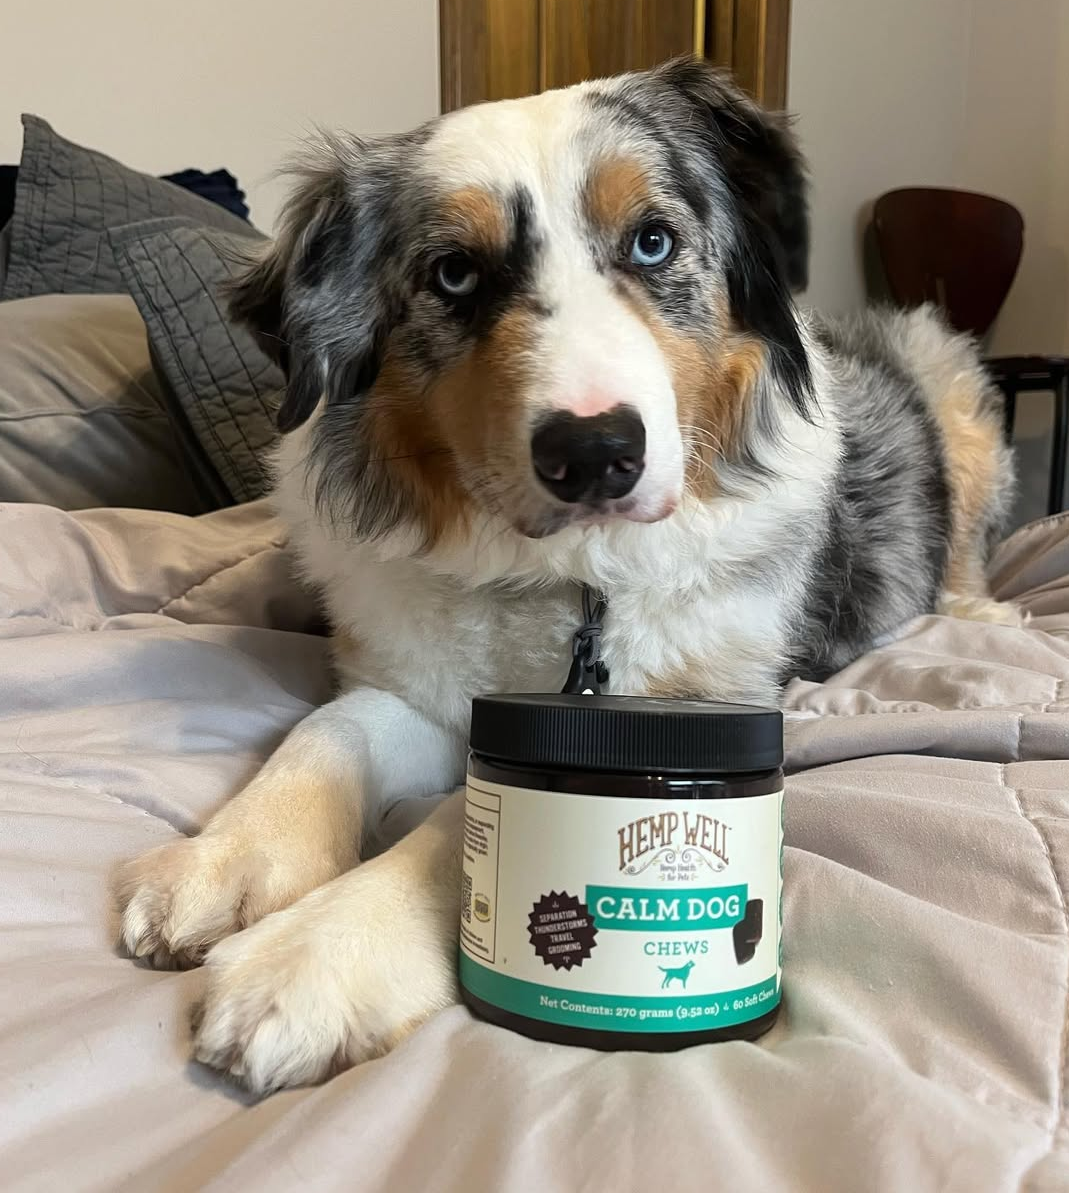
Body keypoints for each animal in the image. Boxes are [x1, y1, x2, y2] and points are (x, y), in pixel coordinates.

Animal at [114, 57, 1017, 1096]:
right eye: (454, 272)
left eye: (653, 241)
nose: (594, 454)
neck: (570, 577)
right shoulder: (410, 682)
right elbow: (325, 732)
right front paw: (221, 859)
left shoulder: (707, 693)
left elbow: (452, 825)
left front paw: (311, 954)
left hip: (947, 376)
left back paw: (977, 608)